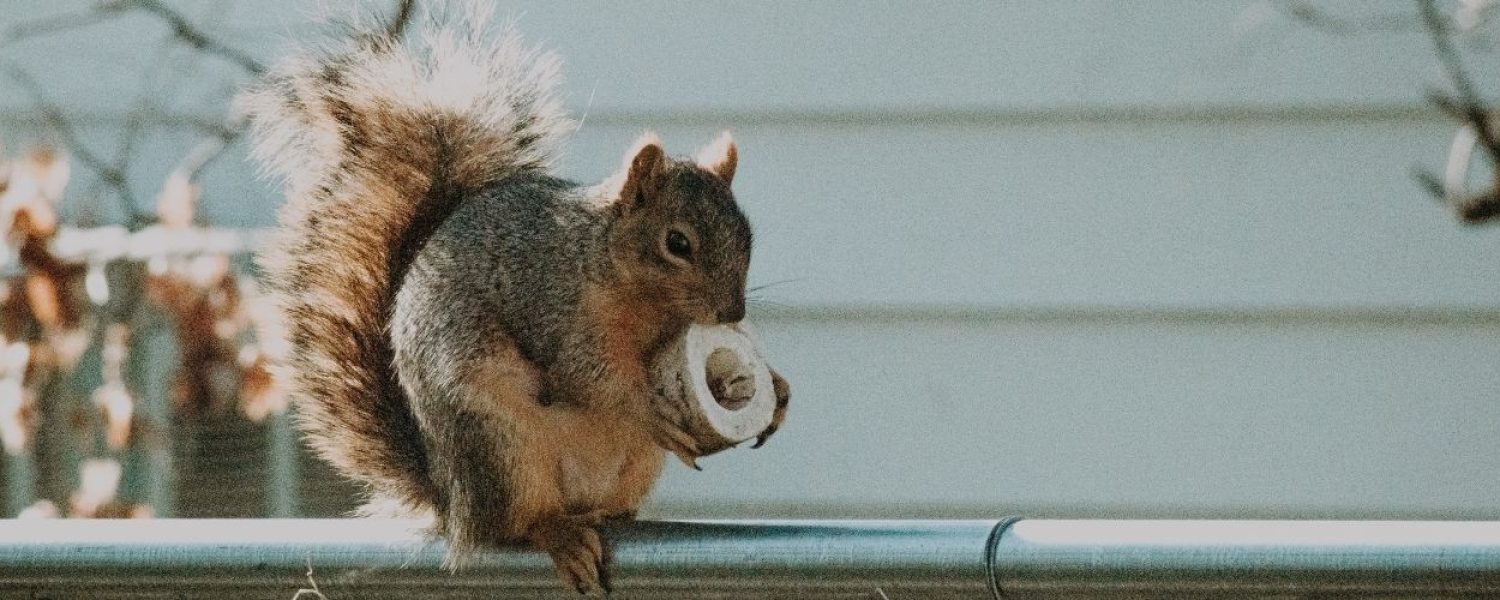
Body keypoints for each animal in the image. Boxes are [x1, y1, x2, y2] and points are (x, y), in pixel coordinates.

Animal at [237, 4, 786, 594]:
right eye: (677, 243)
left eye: (748, 235)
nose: (732, 313)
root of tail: (451, 500)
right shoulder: (548, 301)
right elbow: (584, 372)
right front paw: (648, 407)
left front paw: (774, 390)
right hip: (498, 445)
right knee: (514, 525)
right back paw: (558, 534)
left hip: (621, 466)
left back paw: (609, 516)